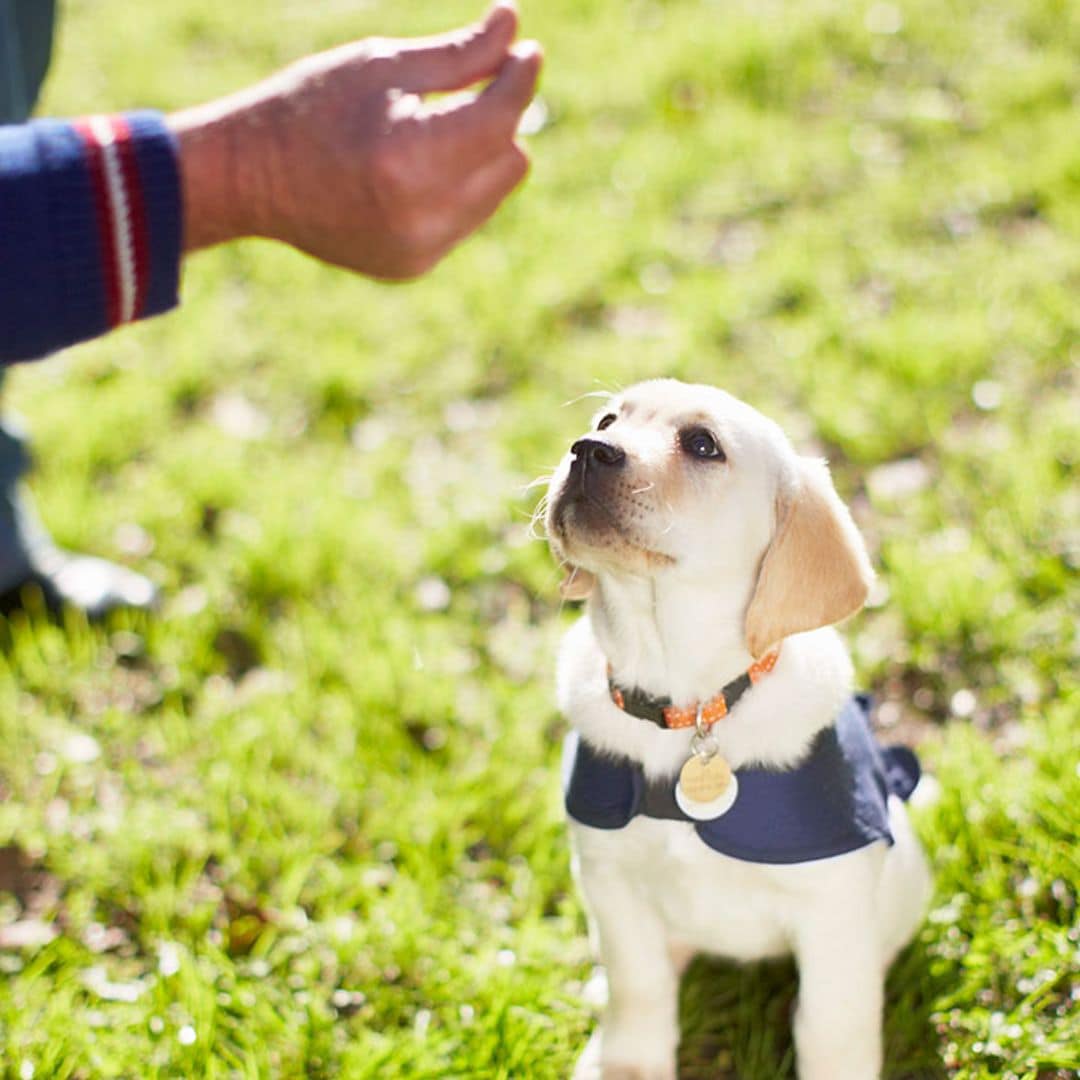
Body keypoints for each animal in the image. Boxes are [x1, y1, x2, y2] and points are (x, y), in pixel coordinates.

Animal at [544, 380, 933, 1080]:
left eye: (703, 445)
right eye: (608, 420)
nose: (586, 449)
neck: (688, 704)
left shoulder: (832, 913)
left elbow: (832, 1025)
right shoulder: (611, 880)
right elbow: (640, 987)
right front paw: (627, 1063)